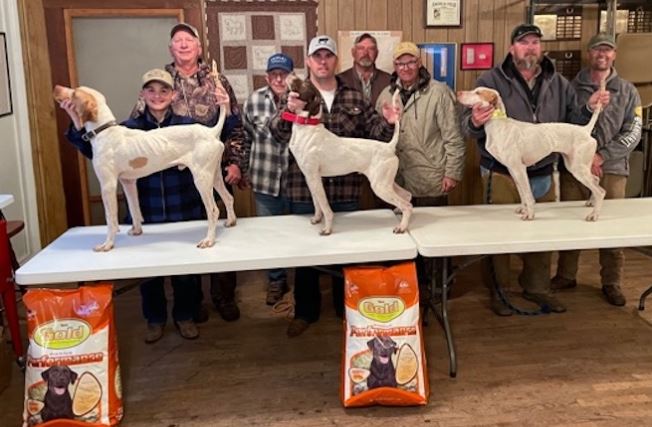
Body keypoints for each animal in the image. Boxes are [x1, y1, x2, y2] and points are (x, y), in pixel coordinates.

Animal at [52, 85, 237, 251]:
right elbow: (134, 210)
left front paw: (108, 244)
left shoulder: (108, 185)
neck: (105, 131)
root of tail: (210, 131)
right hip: (213, 176)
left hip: (202, 179)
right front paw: (136, 231)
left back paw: (209, 240)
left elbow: (110, 219)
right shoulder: (128, 182)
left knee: (213, 210)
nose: (56, 87)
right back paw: (231, 221)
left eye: (74, 92)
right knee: (228, 198)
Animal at [282, 75, 410, 236]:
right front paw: (317, 218)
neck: (307, 126)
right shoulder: (309, 177)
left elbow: (325, 207)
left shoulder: (315, 177)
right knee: (407, 196)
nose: (291, 74)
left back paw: (402, 227)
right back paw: (399, 214)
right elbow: (316, 203)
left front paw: (327, 228)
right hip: (386, 182)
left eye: (305, 84)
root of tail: (389, 146)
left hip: (380, 185)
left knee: (407, 205)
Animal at [458, 85, 608, 222]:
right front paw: (523, 209)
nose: (459, 92)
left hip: (578, 169)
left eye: (478, 92)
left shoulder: (519, 169)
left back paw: (594, 215)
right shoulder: (513, 170)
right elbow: (522, 194)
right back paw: (591, 203)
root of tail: (585, 130)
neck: (500, 125)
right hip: (575, 166)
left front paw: (529, 214)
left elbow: (528, 195)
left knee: (600, 191)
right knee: (596, 180)